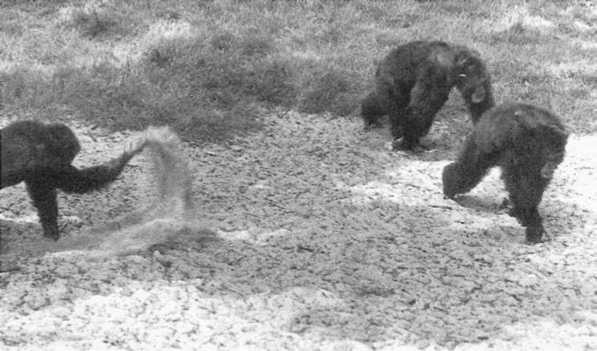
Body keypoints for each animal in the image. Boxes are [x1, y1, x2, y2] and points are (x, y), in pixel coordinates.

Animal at [0, 120, 146, 239]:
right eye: (69, 156)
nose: (68, 164)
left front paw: (129, 153)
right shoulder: (44, 164)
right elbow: (51, 194)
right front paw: (52, 231)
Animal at [364, 40, 494, 151]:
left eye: (483, 81)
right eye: (477, 83)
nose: (481, 92)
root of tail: (382, 62)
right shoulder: (436, 70)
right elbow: (421, 107)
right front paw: (409, 141)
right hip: (389, 80)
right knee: (392, 104)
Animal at [442, 103, 568, 243]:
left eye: (558, 156)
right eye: (551, 157)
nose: (552, 166)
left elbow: (534, 183)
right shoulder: (517, 144)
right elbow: (519, 182)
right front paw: (530, 219)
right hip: (483, 140)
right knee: (470, 168)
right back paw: (449, 185)